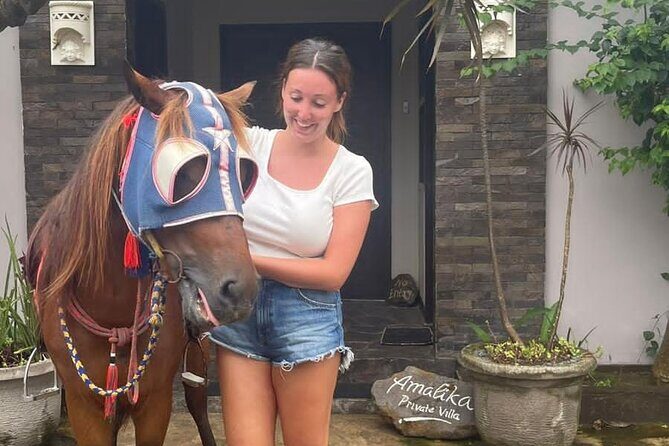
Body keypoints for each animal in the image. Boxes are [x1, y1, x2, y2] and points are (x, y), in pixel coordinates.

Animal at [25, 64, 259, 445]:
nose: (239, 290)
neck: (110, 309)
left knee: (198, 405)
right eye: (182, 174)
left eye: (244, 174)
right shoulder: (83, 404)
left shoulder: (155, 401)